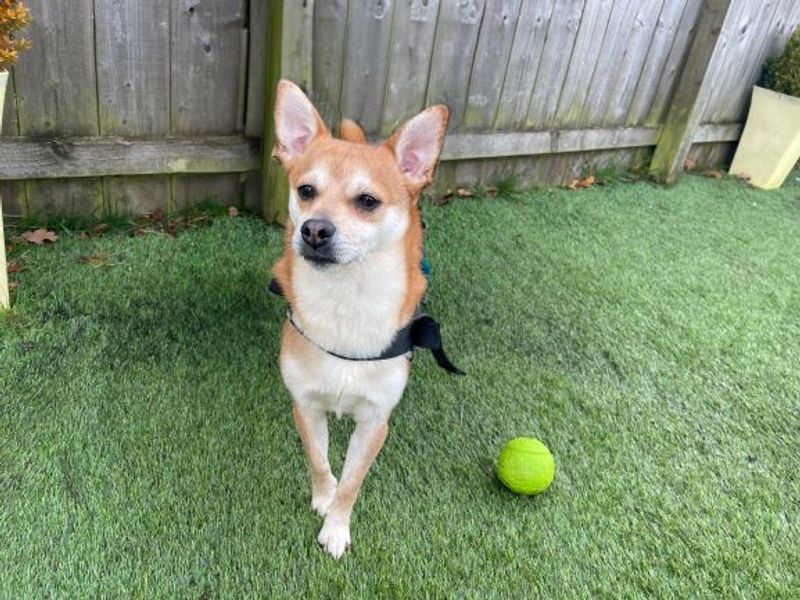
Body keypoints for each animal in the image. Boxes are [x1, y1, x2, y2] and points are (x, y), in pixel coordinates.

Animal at [270, 79, 454, 556]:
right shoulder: (305, 404)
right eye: (306, 191)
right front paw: (323, 497)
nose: (314, 229)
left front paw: (337, 526)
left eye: (367, 201)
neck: (345, 299)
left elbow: (354, 481)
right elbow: (318, 460)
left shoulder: (375, 422)